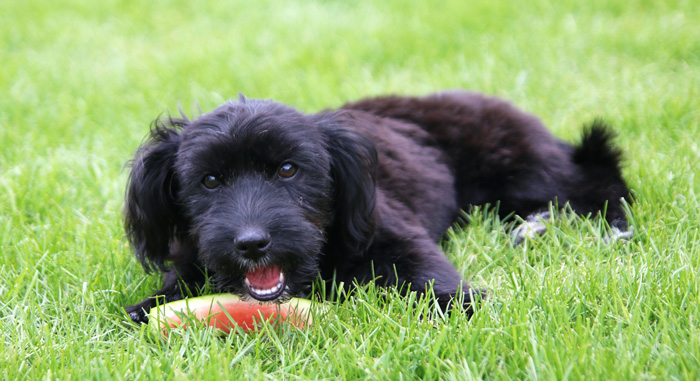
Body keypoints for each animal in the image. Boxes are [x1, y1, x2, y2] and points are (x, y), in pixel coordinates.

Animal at [123, 90, 632, 322]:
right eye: (209, 181)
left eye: (288, 170)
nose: (251, 244)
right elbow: (161, 297)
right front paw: (147, 310)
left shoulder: (399, 240)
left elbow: (431, 278)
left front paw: (464, 306)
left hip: (523, 170)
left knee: (600, 182)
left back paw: (609, 229)